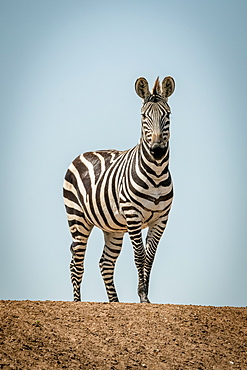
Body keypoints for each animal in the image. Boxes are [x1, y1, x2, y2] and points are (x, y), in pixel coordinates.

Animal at [63, 76, 176, 304]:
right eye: (143, 116)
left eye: (167, 115)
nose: (157, 151)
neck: (156, 173)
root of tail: (82, 154)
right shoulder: (133, 215)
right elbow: (140, 255)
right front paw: (142, 296)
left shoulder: (161, 219)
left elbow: (150, 257)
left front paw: (145, 297)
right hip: (77, 219)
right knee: (76, 263)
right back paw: (77, 302)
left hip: (112, 228)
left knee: (105, 263)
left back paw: (114, 303)